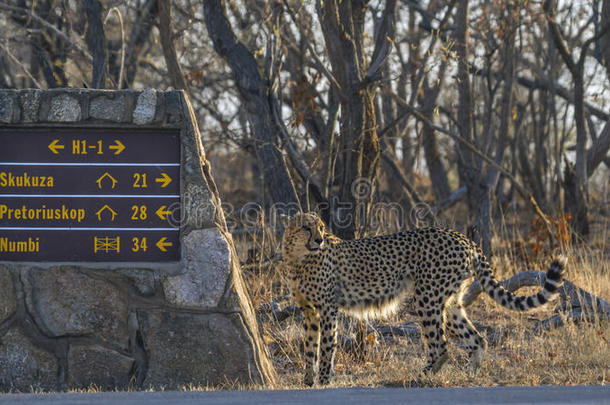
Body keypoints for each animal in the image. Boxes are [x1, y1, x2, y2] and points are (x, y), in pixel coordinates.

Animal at [280, 211, 564, 386]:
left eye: (321, 228)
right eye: (306, 227)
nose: (319, 240)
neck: (299, 258)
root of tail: (464, 238)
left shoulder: (328, 308)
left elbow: (327, 346)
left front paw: (324, 380)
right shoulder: (309, 311)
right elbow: (310, 347)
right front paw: (307, 381)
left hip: (427, 298)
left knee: (441, 346)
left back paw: (420, 376)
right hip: (451, 302)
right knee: (477, 339)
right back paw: (469, 375)